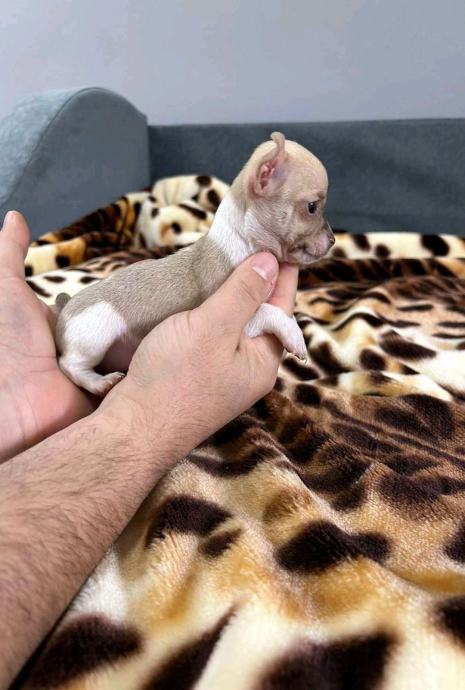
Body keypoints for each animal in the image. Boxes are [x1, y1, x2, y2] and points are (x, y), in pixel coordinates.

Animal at [55, 132, 334, 396]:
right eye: (312, 207)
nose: (332, 240)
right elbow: (269, 311)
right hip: (94, 334)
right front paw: (294, 333)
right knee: (69, 364)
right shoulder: (238, 320)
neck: (244, 242)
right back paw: (99, 382)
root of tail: (65, 306)